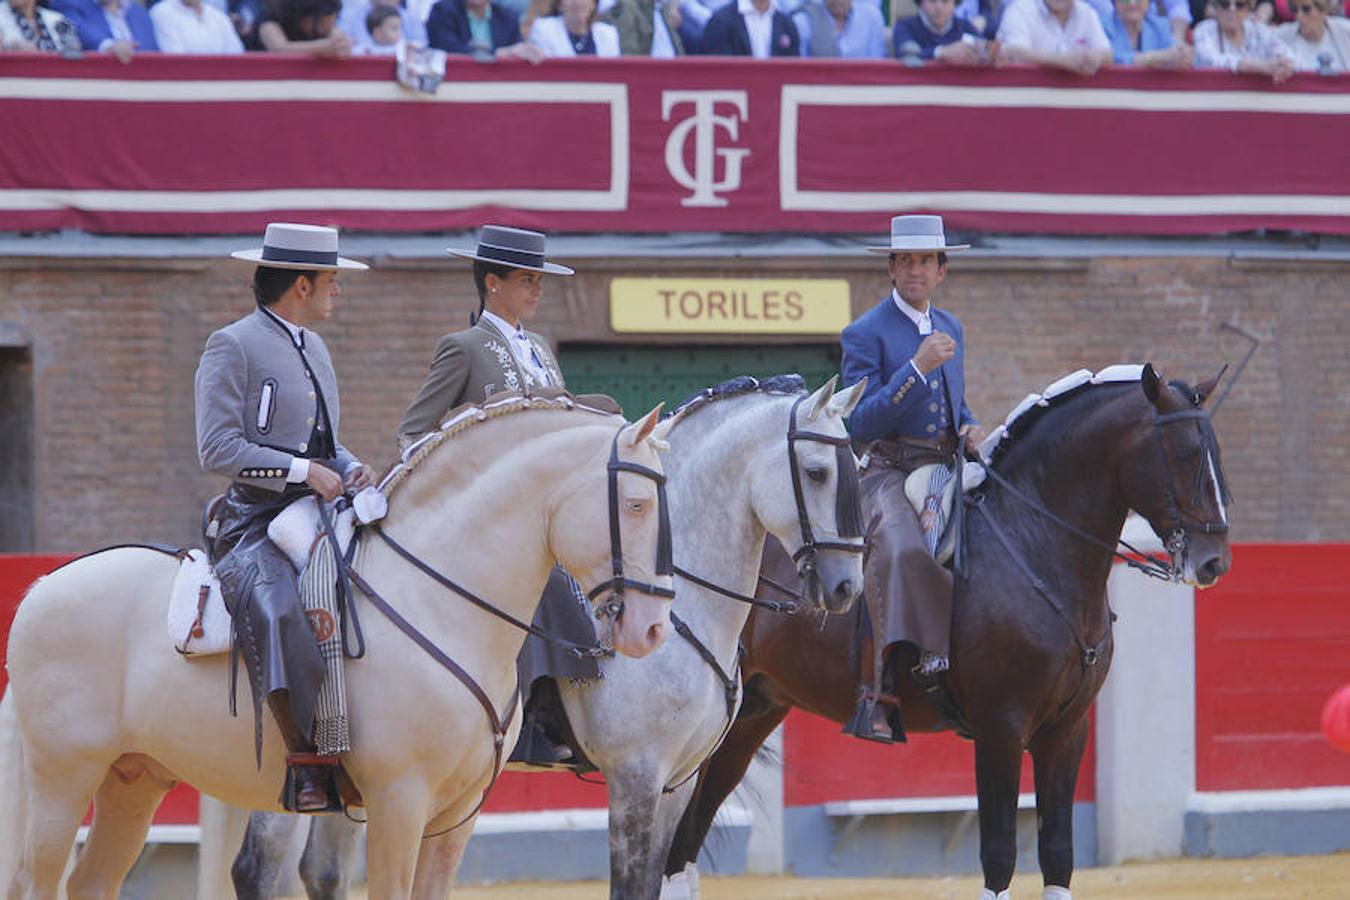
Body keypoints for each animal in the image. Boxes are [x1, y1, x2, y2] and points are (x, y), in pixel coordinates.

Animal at [0, 396, 675, 900]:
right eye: (637, 503)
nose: (652, 629)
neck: (439, 597)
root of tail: (41, 586)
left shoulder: (459, 811)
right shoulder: (398, 799)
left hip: (133, 778)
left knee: (92, 882)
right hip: (64, 775)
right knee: (41, 882)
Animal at [205, 377, 869, 895]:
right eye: (817, 472)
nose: (845, 587)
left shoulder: (677, 780)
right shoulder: (635, 775)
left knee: (322, 870)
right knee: (260, 868)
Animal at [664, 367, 1236, 900]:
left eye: (1215, 452)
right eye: (1185, 453)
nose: (1214, 562)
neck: (1033, 547)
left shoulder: (1066, 732)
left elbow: (1057, 853)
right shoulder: (1001, 728)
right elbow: (1000, 856)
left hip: (752, 713)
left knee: (686, 841)